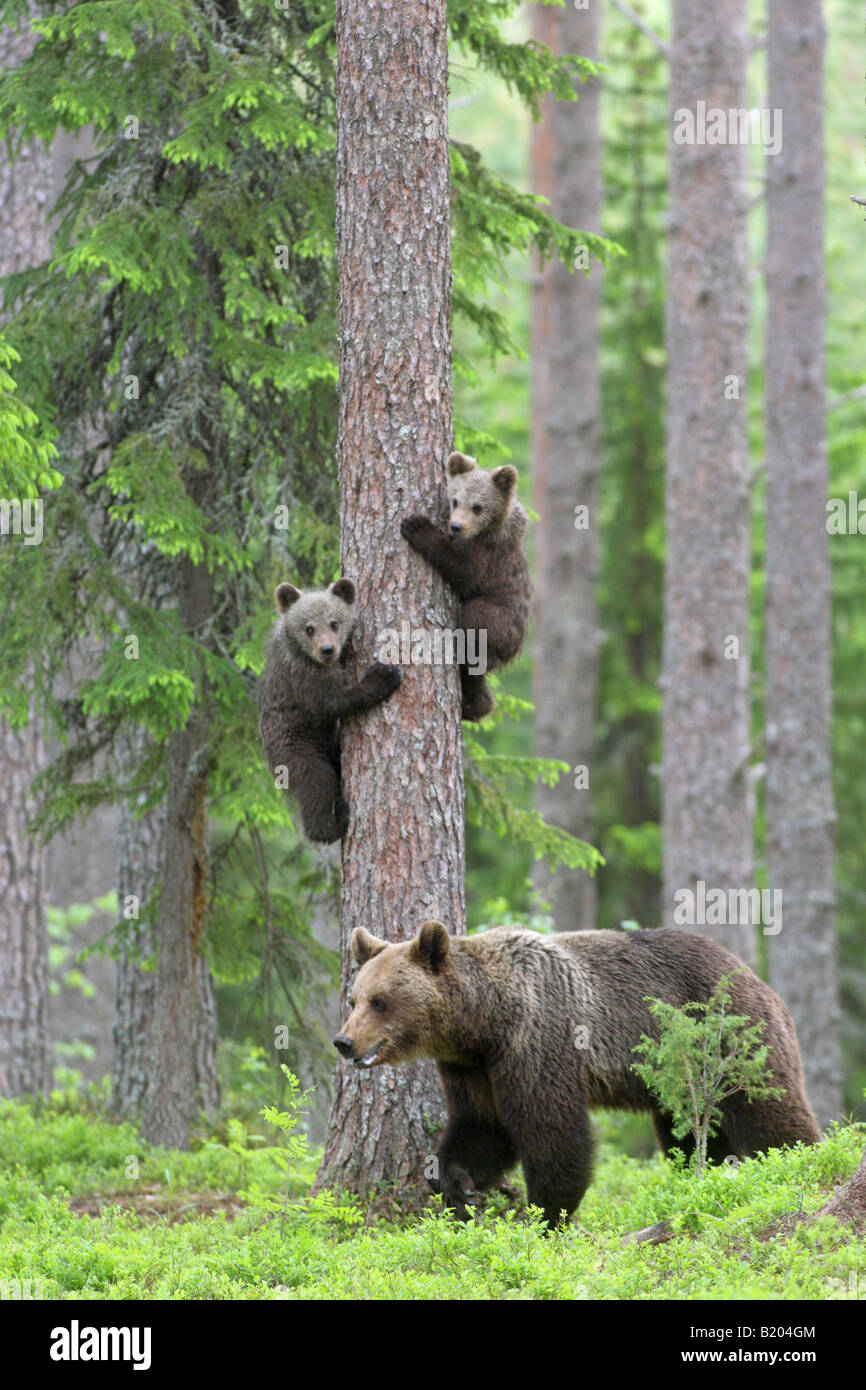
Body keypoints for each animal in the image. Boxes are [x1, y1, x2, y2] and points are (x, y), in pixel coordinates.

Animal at [258, 578, 402, 843]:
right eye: (309, 628)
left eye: (335, 623)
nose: (327, 650)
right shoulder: (302, 674)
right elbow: (329, 703)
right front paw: (384, 676)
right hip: (295, 749)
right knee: (317, 781)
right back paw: (335, 822)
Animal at [334, 922, 820, 1228]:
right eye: (354, 999)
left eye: (380, 1001)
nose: (344, 1042)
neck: (486, 1019)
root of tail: (754, 976)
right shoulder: (472, 1067)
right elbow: (481, 1126)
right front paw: (459, 1188)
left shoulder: (539, 1040)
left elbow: (553, 1133)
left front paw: (546, 1216)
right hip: (680, 1079)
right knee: (691, 1135)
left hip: (729, 1038)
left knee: (769, 1109)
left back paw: (804, 1164)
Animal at [400, 451, 531, 721]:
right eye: (455, 500)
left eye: (478, 507)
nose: (456, 526)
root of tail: (515, 649)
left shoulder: (488, 552)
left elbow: (464, 573)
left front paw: (417, 527)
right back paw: (475, 705)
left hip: (503, 621)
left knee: (476, 622)